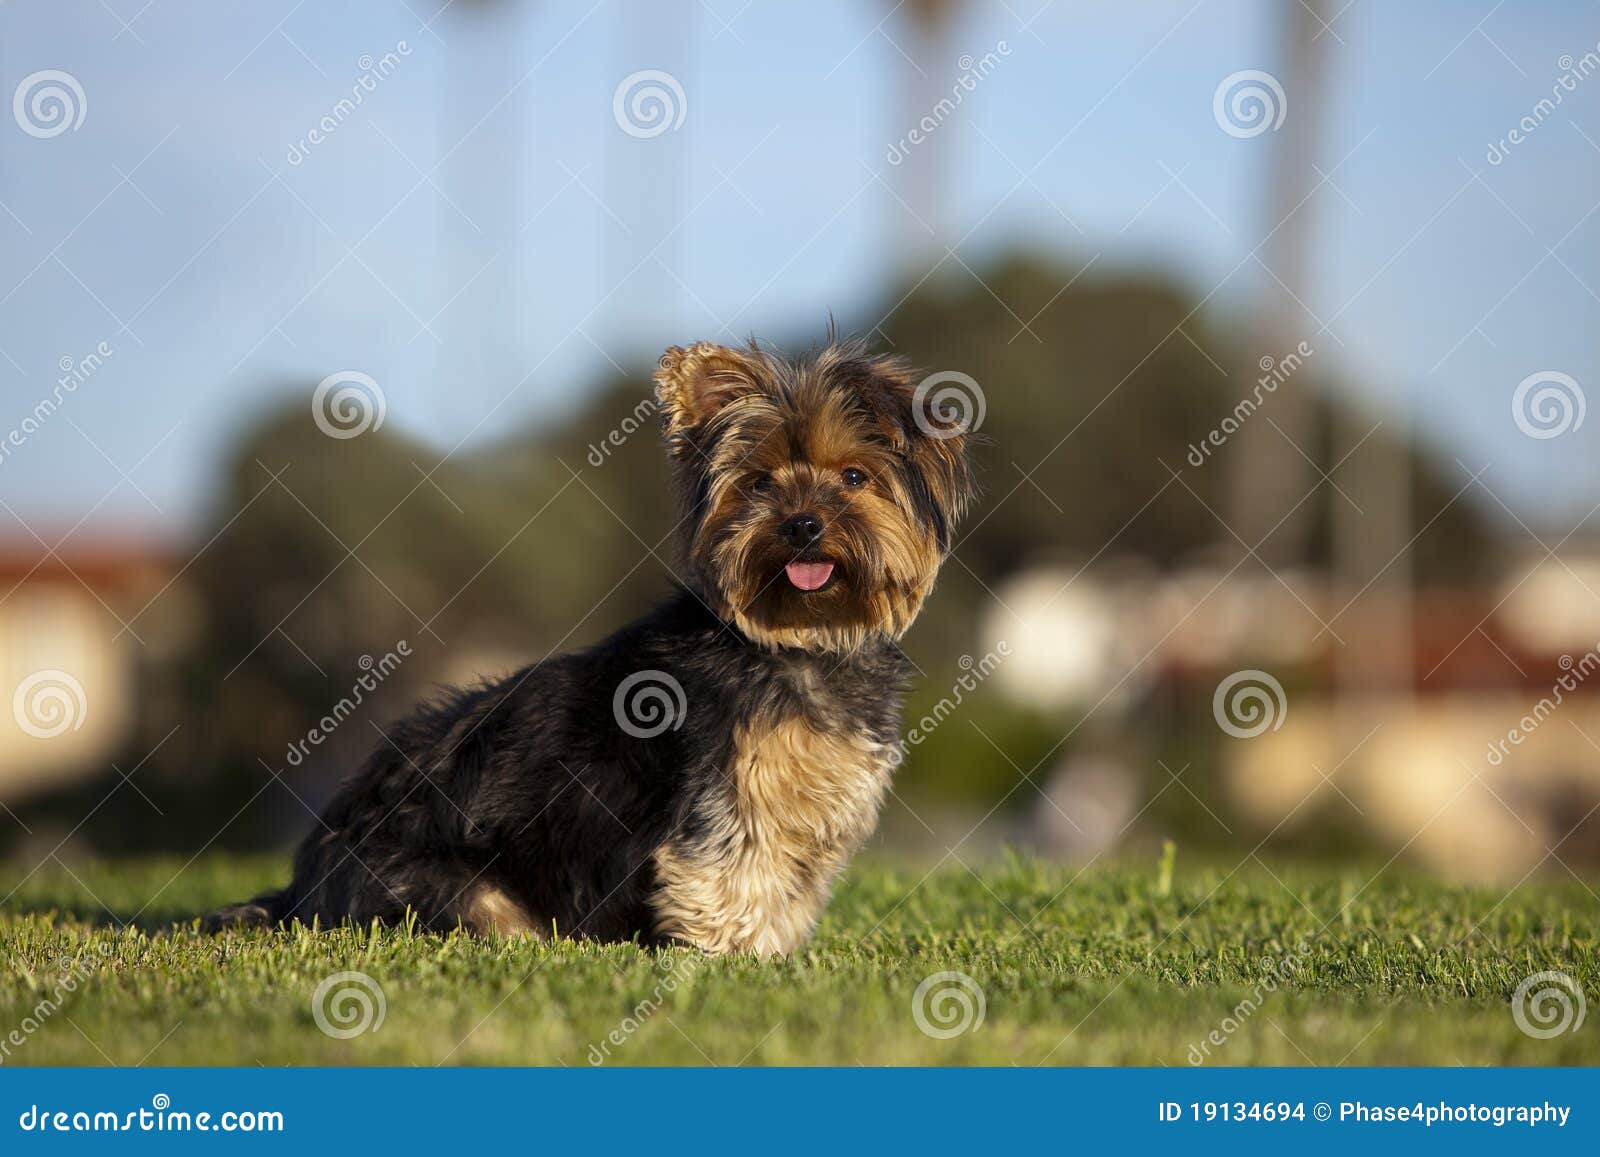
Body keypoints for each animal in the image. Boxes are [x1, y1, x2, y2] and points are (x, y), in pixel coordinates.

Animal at [204, 339, 966, 953]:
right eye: (758, 482)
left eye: (855, 477)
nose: (803, 525)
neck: (804, 640)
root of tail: (301, 889)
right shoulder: (727, 796)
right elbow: (727, 879)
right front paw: (735, 962)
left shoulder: (808, 812)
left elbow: (785, 889)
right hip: (459, 891)